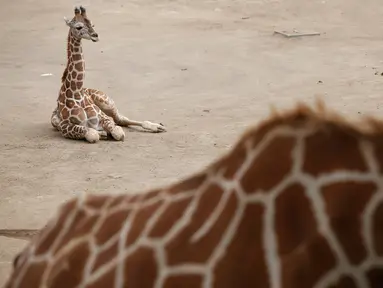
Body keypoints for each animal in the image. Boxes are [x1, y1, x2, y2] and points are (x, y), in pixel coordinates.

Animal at [50, 5, 166, 143]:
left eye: (92, 24)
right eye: (78, 27)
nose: (95, 36)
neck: (77, 93)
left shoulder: (103, 117)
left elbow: (118, 132)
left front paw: (108, 133)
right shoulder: (64, 127)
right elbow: (92, 134)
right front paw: (102, 134)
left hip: (107, 102)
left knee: (121, 119)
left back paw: (157, 126)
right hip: (55, 120)